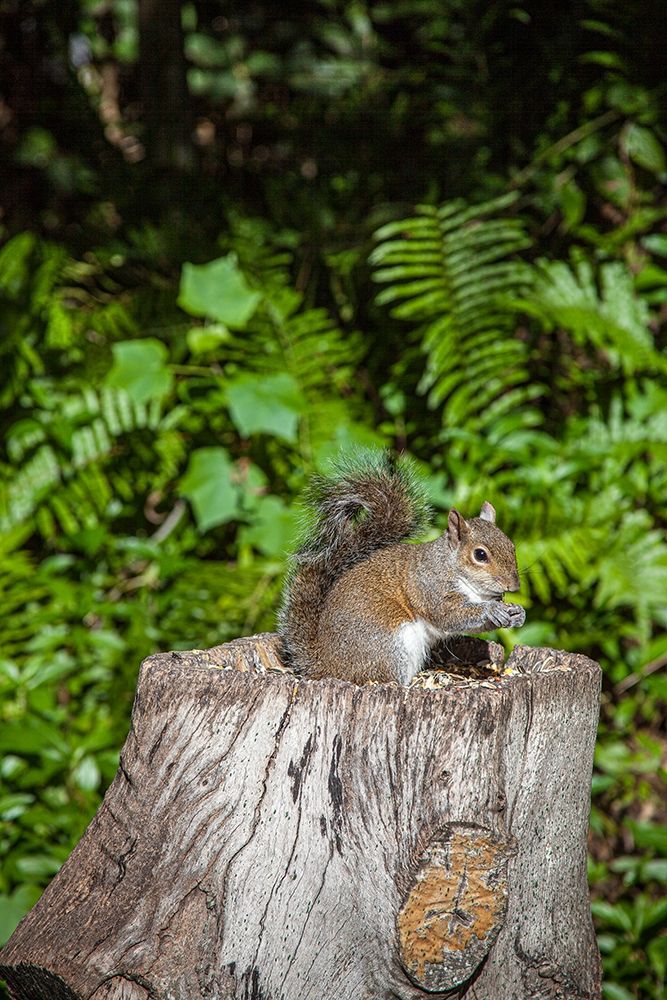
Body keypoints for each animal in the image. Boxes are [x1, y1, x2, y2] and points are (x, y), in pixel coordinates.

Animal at [278, 453, 525, 685]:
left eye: (512, 546)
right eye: (480, 555)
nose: (513, 586)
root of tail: (324, 664)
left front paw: (517, 614)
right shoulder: (431, 587)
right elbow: (450, 615)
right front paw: (491, 610)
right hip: (390, 646)